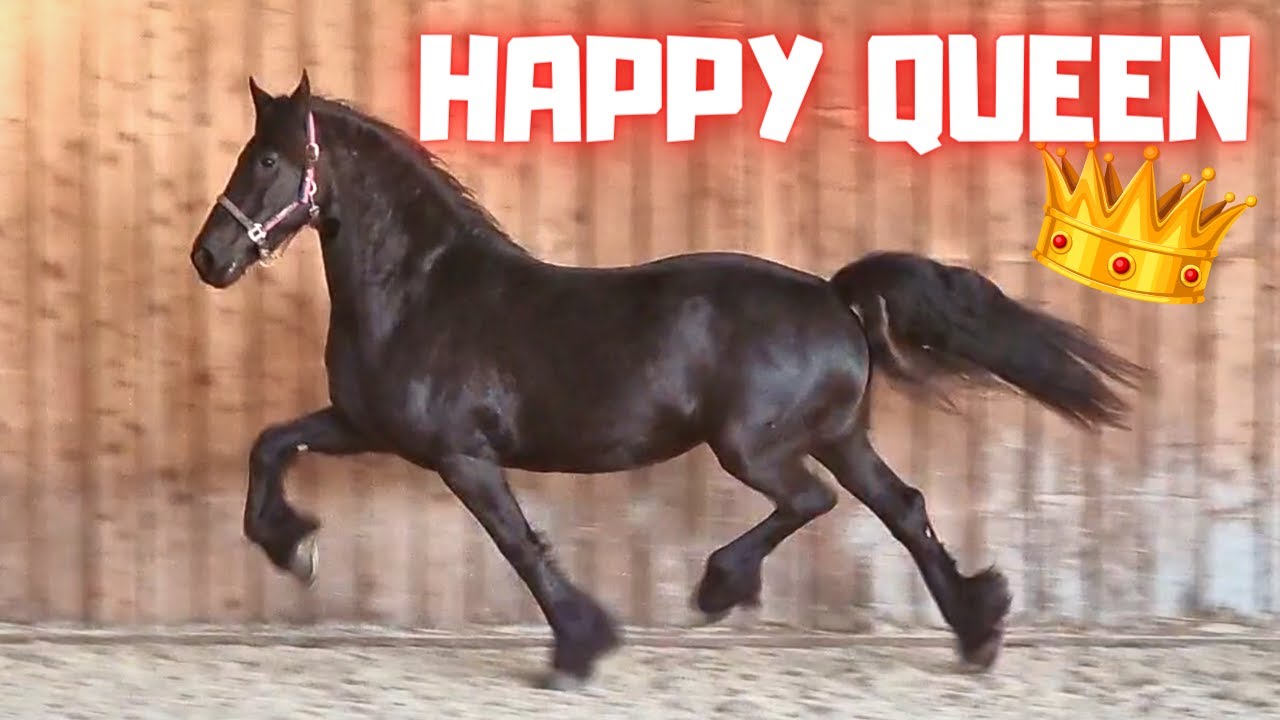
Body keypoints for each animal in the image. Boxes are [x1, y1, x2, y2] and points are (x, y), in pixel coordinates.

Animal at [189, 70, 1144, 688]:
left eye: (266, 162)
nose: (209, 257)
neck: (421, 288)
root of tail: (831, 295)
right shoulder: (368, 426)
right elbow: (270, 445)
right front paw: (292, 545)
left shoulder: (460, 455)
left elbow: (519, 545)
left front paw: (579, 649)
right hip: (839, 436)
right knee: (901, 507)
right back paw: (977, 632)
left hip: (753, 447)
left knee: (811, 502)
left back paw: (722, 585)